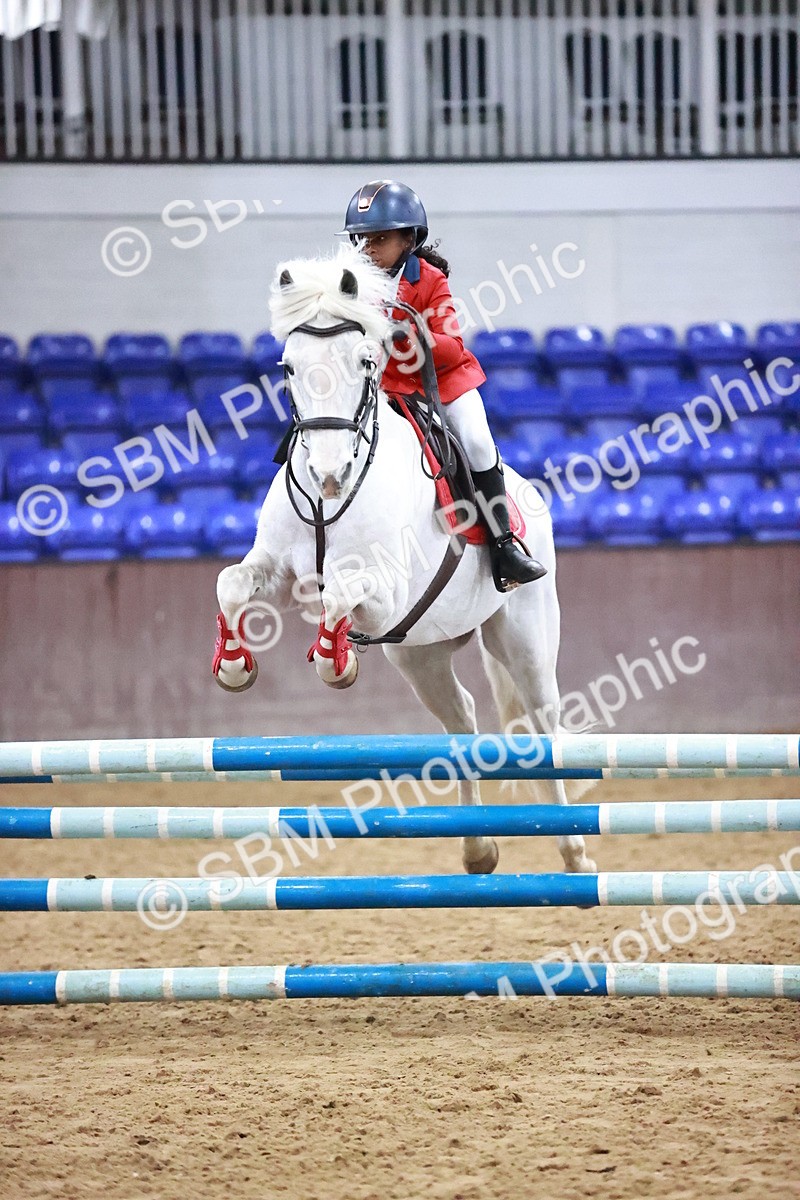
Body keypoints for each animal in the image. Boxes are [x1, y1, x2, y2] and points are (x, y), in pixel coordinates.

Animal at [213, 244, 596, 877]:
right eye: (289, 368)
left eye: (366, 362)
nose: (328, 476)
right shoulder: (279, 570)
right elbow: (232, 584)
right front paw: (234, 666)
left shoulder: (387, 592)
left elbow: (340, 595)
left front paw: (334, 663)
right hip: (420, 654)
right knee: (462, 719)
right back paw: (478, 849)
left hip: (524, 637)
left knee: (542, 728)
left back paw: (574, 851)